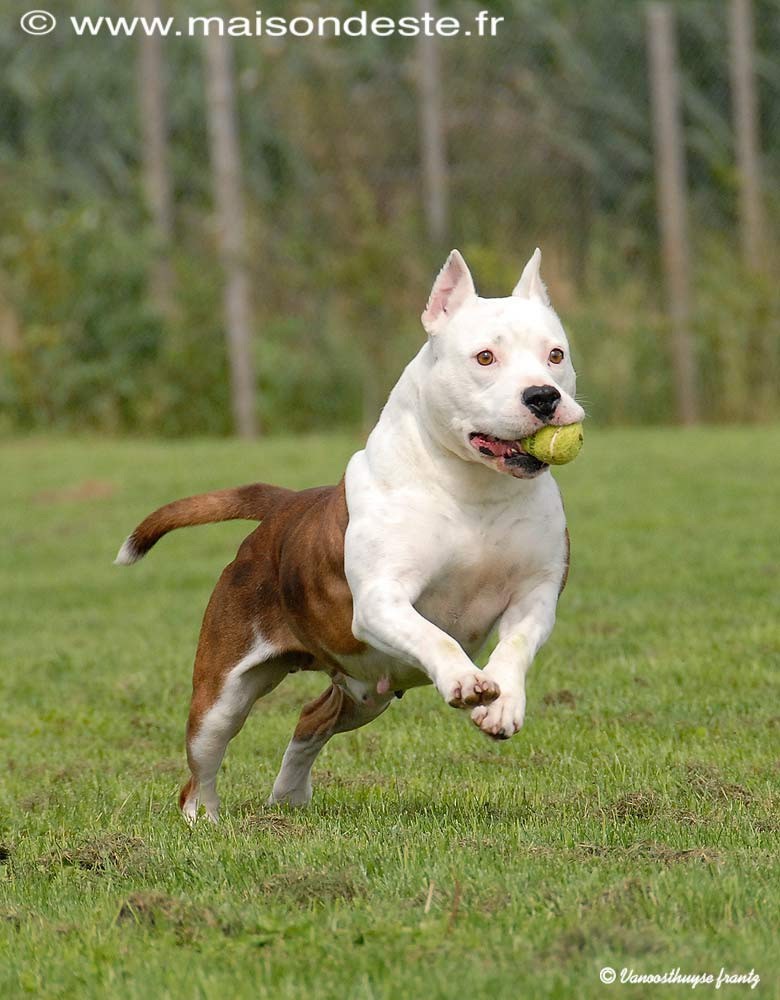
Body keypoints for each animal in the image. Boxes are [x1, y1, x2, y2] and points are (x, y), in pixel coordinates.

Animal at [117, 250, 584, 820]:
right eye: (485, 357)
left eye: (555, 354)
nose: (543, 396)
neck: (475, 488)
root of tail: (285, 504)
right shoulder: (383, 601)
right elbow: (437, 636)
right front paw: (462, 679)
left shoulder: (535, 594)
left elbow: (515, 645)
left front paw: (503, 706)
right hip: (221, 694)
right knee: (202, 763)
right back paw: (205, 819)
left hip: (368, 689)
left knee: (311, 718)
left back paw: (289, 797)